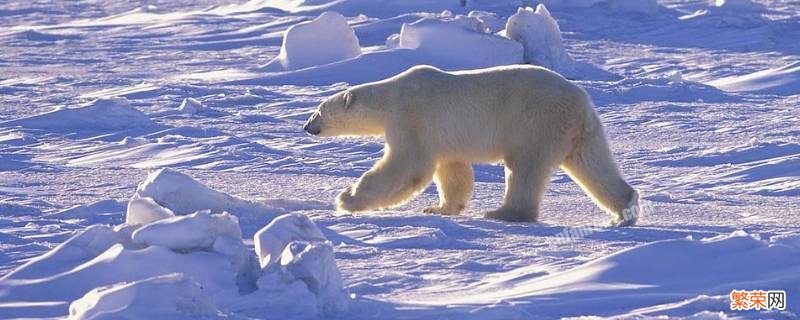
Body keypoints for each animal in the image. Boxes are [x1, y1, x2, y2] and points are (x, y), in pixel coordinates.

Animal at [304, 64, 640, 225]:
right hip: (581, 133)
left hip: (535, 122)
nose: (307, 127)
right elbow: (453, 170)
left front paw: (346, 199)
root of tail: (581, 104)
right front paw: (439, 208)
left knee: (524, 168)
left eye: (318, 110)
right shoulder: (442, 137)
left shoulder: (411, 117)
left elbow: (407, 166)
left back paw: (504, 213)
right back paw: (624, 211)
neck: (390, 96)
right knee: (593, 164)